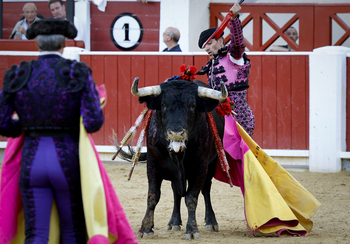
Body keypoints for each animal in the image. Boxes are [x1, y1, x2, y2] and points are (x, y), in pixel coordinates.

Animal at [130, 78, 226, 240]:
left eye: (192, 106)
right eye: (163, 105)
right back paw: (174, 222)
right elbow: (152, 196)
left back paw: (211, 222)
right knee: (176, 193)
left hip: (212, 164)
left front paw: (192, 230)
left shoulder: (201, 167)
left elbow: (191, 198)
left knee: (206, 190)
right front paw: (145, 228)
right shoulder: (152, 165)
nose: (176, 133)